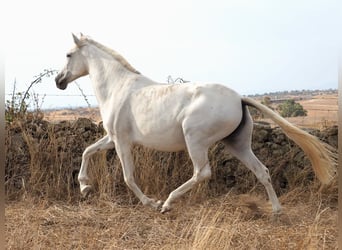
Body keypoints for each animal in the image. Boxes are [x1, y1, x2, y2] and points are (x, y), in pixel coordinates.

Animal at [54, 33, 336, 213]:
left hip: (195, 140)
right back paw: (277, 210)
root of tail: (239, 98)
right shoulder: (112, 138)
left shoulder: (122, 141)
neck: (118, 87)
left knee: (202, 172)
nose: (58, 80)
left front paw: (151, 203)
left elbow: (128, 177)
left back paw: (167, 203)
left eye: (68, 55)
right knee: (261, 170)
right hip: (237, 144)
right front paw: (84, 187)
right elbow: (87, 151)